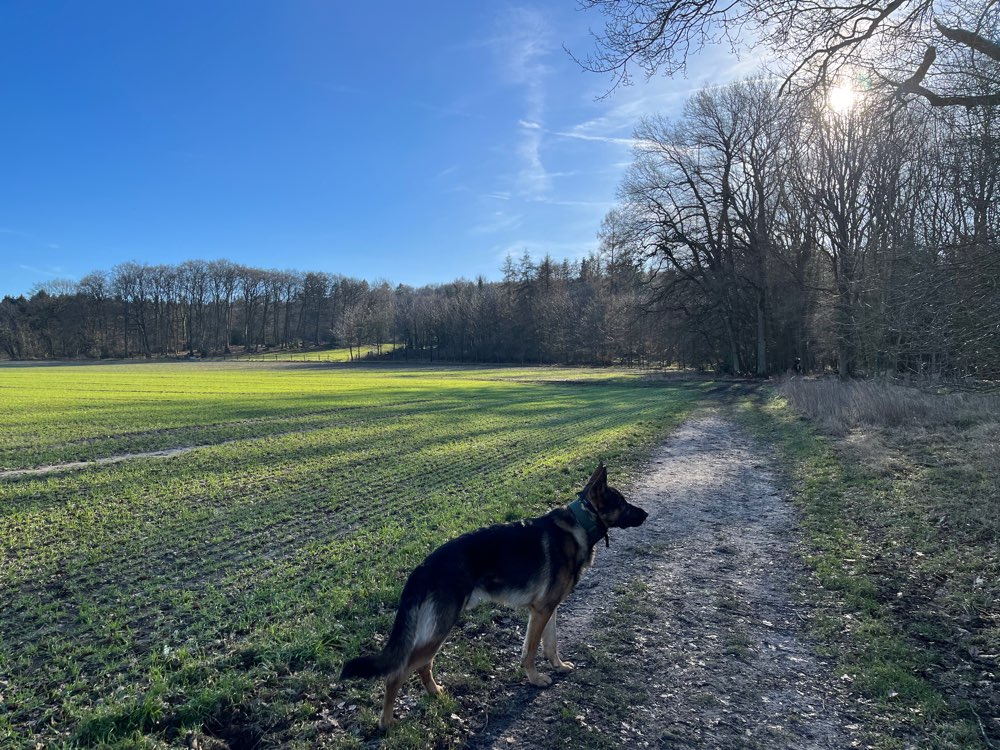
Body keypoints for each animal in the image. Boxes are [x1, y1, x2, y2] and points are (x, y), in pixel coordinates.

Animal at [340, 462, 648, 732]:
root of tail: (423, 567)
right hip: (440, 629)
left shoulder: (549, 609)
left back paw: (435, 692)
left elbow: (550, 644)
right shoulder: (540, 611)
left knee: (423, 665)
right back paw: (386, 722)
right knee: (397, 674)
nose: (645, 515)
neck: (581, 524)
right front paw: (535, 679)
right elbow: (531, 650)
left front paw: (558, 666)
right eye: (622, 502)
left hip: (437, 631)